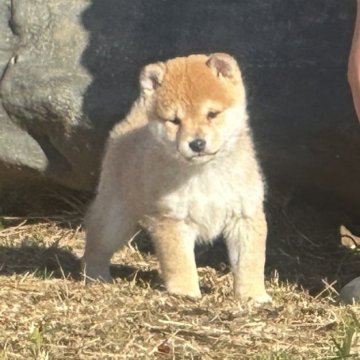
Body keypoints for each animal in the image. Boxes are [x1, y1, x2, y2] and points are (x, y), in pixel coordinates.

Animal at [83, 52, 270, 302]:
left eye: (212, 114)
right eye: (175, 121)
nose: (197, 143)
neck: (204, 173)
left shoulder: (245, 215)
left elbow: (250, 262)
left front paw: (253, 295)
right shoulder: (172, 220)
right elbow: (180, 262)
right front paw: (186, 292)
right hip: (115, 219)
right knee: (96, 239)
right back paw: (95, 275)